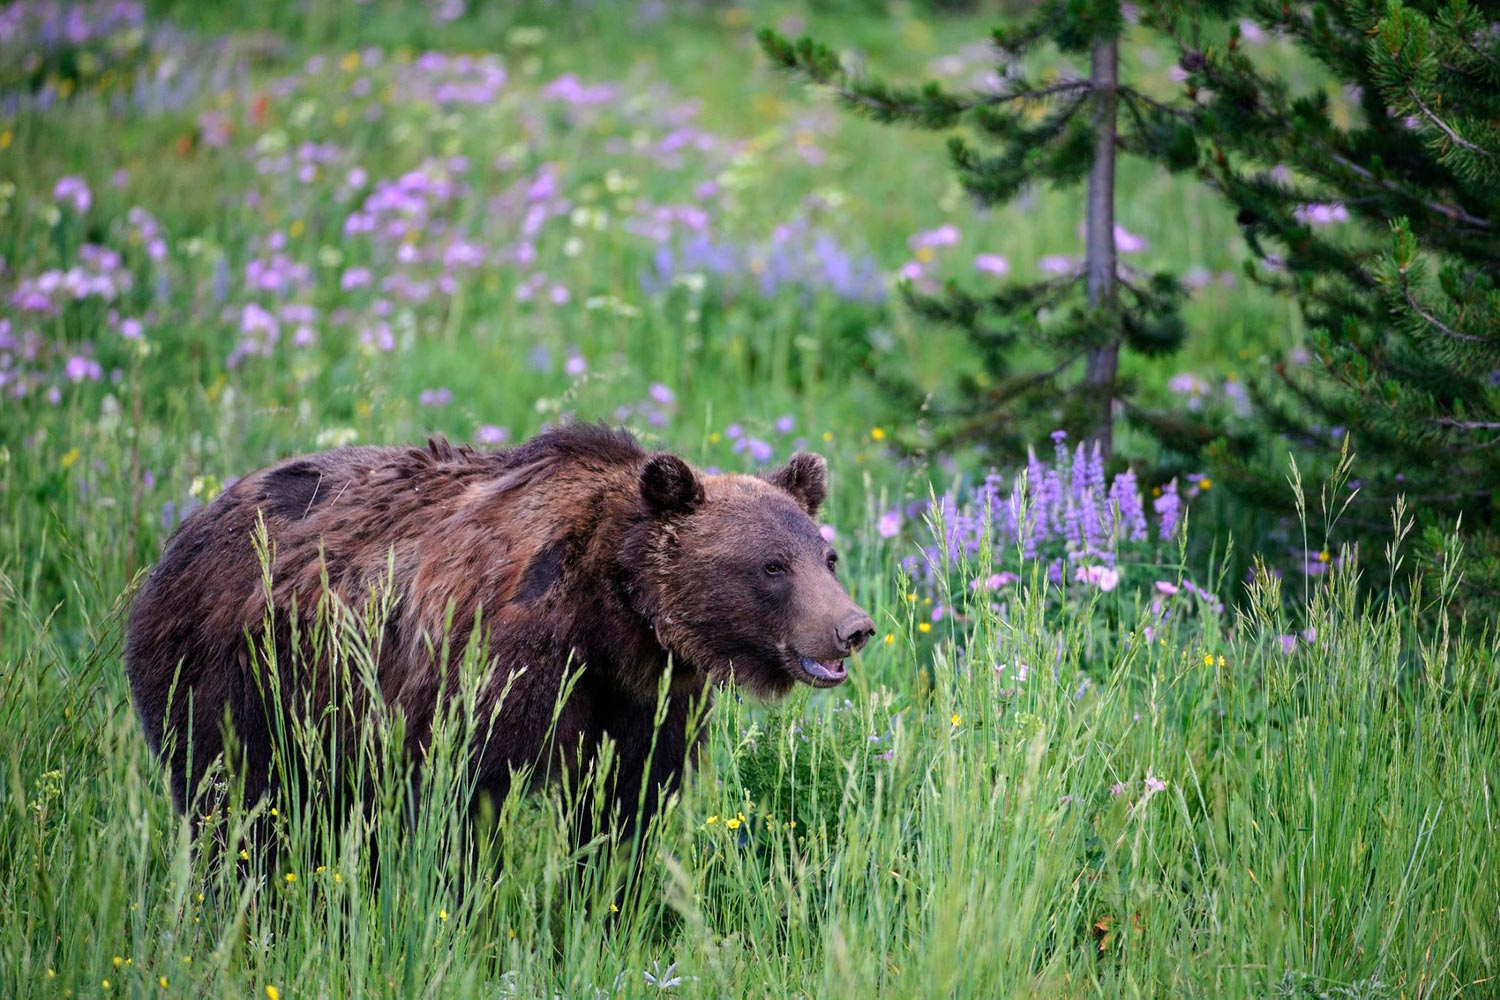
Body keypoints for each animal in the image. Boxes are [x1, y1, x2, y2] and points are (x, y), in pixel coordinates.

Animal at [123, 425, 876, 839]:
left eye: (826, 556)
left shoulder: (644, 699)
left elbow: (625, 807)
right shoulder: (495, 669)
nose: (852, 628)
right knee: (234, 805)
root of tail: (184, 533)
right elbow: (468, 797)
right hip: (236, 678)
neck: (615, 614)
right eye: (772, 565)